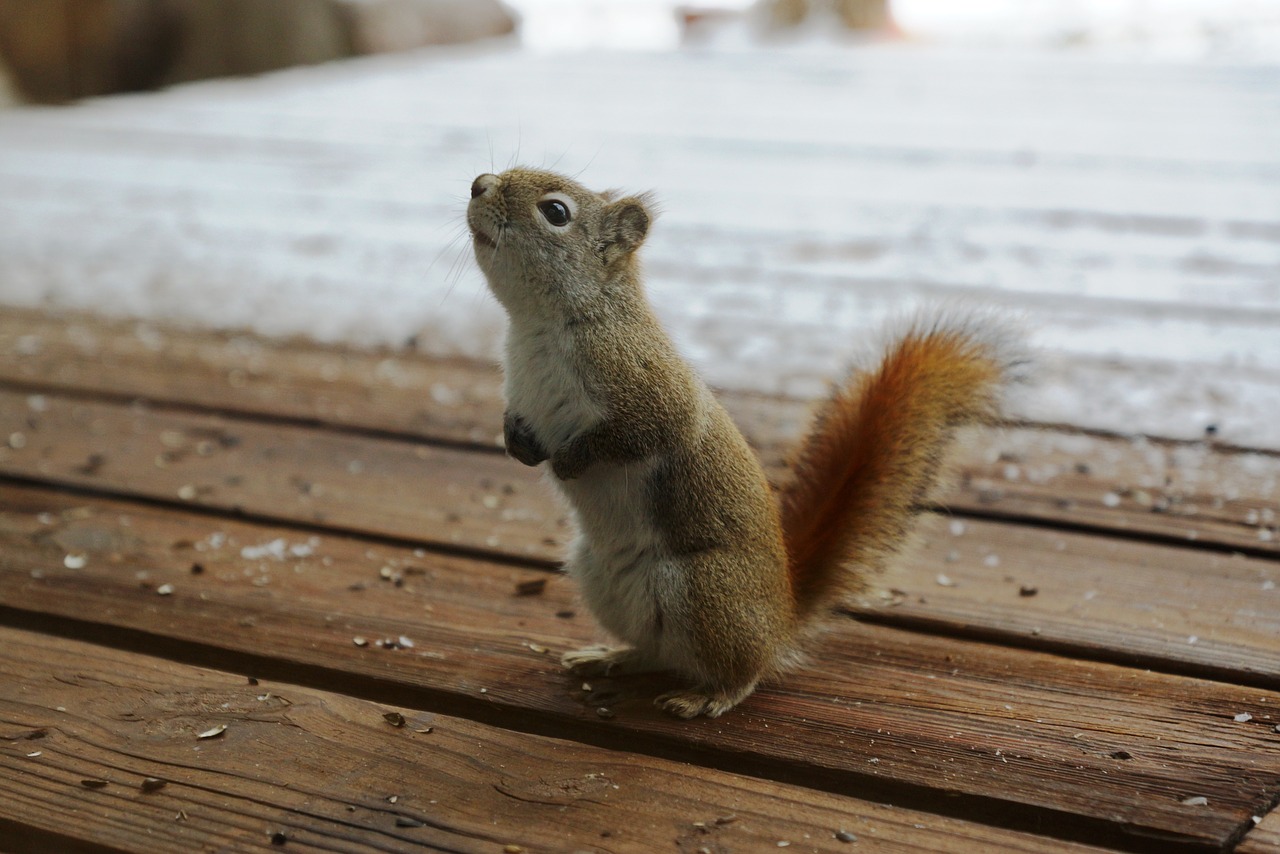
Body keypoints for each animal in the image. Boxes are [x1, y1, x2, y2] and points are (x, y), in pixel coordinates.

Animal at [465, 166, 1024, 717]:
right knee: (656, 651)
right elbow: (520, 428)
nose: (478, 184)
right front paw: (520, 448)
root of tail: (780, 623)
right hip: (600, 577)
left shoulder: (649, 389)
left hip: (703, 590)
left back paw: (709, 695)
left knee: (744, 672)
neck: (538, 329)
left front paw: (571, 459)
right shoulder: (523, 397)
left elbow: (639, 434)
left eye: (556, 212)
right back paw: (613, 657)